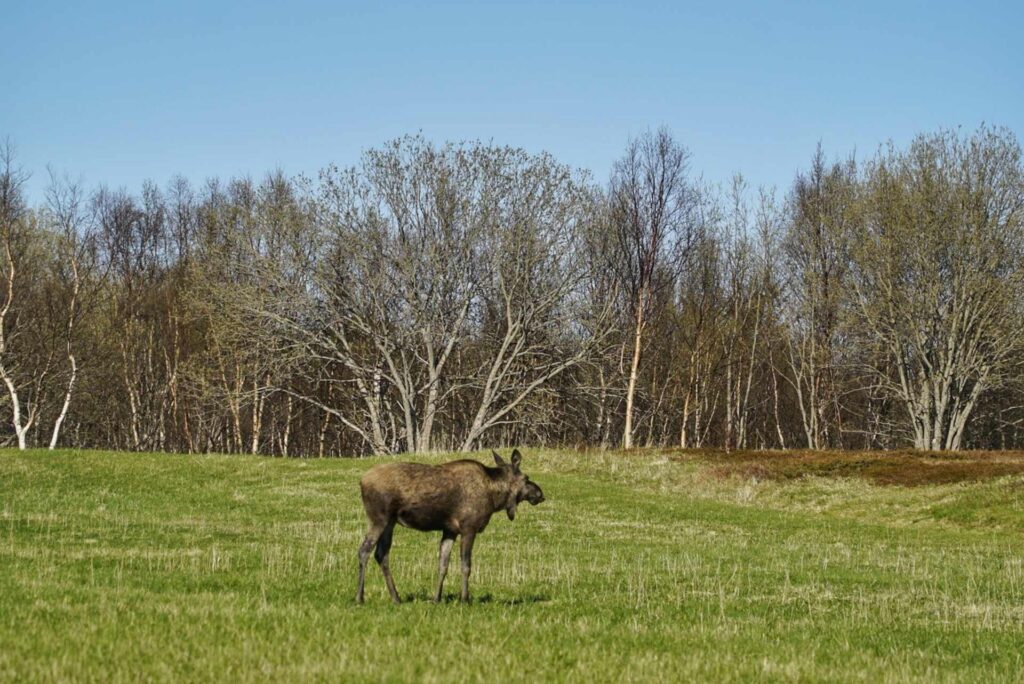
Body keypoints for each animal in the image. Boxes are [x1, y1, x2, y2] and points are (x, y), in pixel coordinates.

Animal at [355, 449, 545, 604]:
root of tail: (361, 481)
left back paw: (396, 598)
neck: (495, 497)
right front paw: (464, 599)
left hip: (390, 523)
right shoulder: (469, 528)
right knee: (364, 550)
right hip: (379, 519)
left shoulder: (450, 530)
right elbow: (466, 565)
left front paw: (436, 599)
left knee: (381, 554)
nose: (540, 494)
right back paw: (360, 598)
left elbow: (443, 565)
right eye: (526, 478)